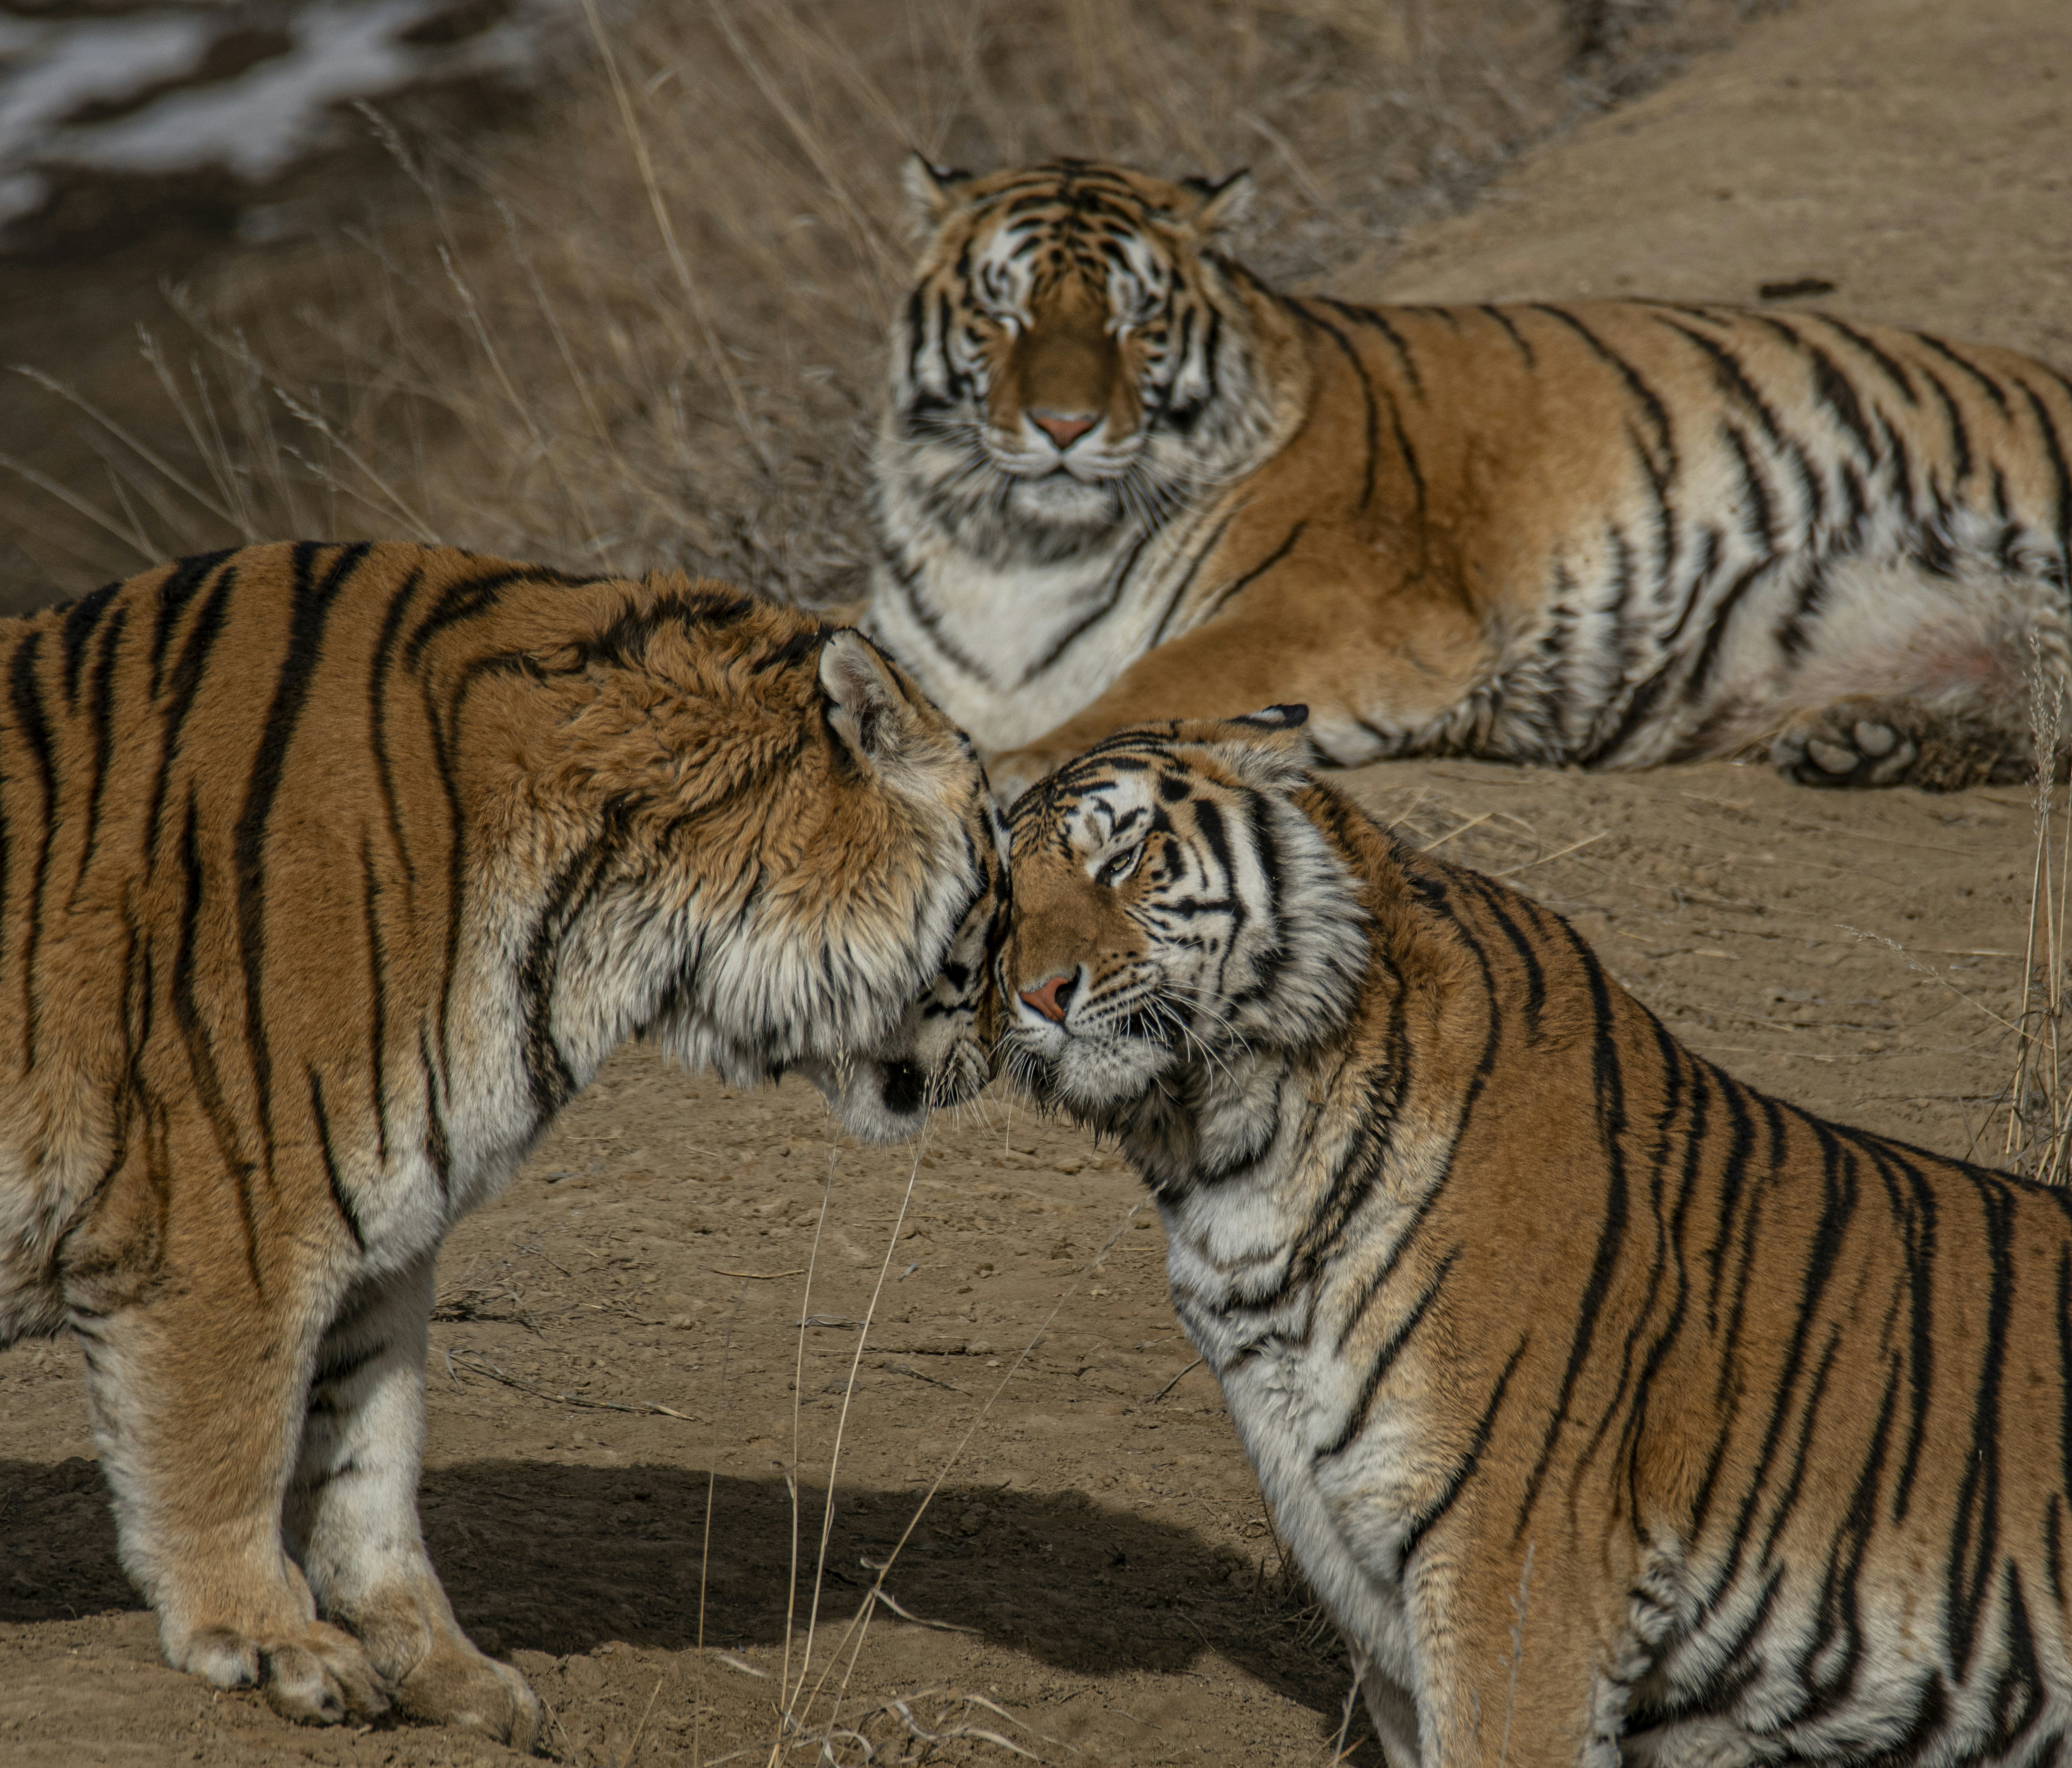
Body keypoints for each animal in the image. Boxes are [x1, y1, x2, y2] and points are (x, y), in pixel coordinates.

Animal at [0, 540, 1002, 1744]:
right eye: (998, 881)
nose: (1013, 1037)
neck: (619, 919)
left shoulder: (379, 1241)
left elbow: (371, 1466)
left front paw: (448, 1671)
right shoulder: (224, 1221)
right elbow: (230, 1448)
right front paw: (276, 1645)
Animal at [866, 156, 2072, 808]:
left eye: (1134, 319)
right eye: (1004, 310)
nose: (1064, 426)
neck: (1016, 547)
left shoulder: (1336, 609)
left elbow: (1156, 679)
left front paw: (1014, 764)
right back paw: (1862, 741)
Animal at [998, 705, 2072, 1768]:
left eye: (1123, 857)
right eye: (1004, 900)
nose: (1037, 995)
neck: (1232, 1165)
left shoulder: (1514, 1573)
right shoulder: (1365, 1589)